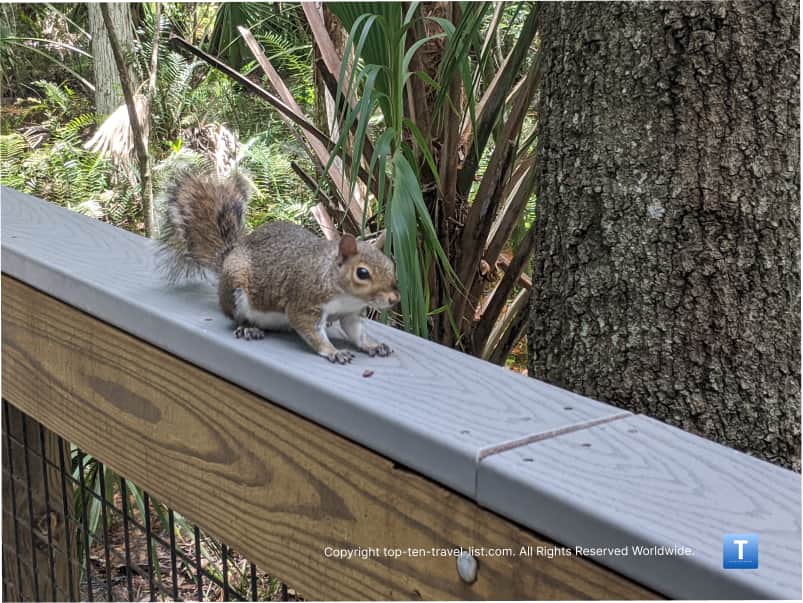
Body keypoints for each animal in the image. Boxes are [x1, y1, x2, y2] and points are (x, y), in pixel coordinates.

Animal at [158, 169, 401, 364]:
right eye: (362, 273)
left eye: (392, 266)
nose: (394, 299)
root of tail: (229, 256)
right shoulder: (305, 303)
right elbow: (311, 331)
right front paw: (333, 351)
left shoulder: (350, 312)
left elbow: (356, 331)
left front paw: (372, 345)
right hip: (236, 286)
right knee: (236, 317)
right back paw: (248, 329)